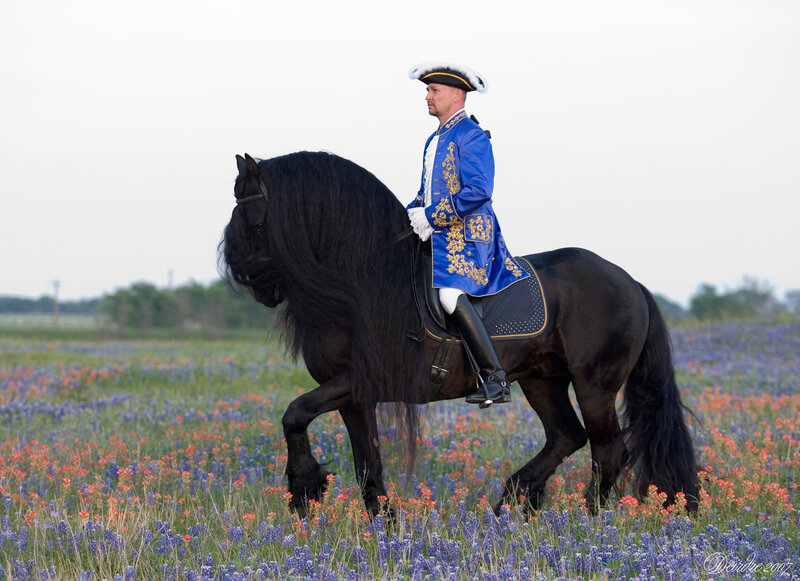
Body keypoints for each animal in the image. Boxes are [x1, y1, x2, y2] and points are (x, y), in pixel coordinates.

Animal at [221, 151, 699, 518]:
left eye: (256, 223)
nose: (254, 284)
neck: (361, 285)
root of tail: (629, 281)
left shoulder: (358, 381)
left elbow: (295, 413)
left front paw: (304, 488)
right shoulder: (354, 393)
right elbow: (365, 464)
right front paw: (383, 527)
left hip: (594, 384)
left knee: (607, 450)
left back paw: (587, 520)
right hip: (542, 378)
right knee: (566, 435)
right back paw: (510, 503)